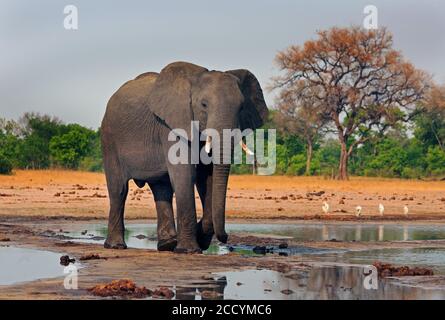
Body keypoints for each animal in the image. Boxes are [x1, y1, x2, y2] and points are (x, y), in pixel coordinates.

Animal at [100, 61, 268, 254]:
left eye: (241, 107)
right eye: (204, 105)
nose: (225, 237)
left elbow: (206, 178)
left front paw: (200, 237)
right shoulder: (171, 125)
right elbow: (185, 175)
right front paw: (189, 250)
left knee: (162, 188)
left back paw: (167, 245)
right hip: (109, 138)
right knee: (119, 189)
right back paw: (116, 246)